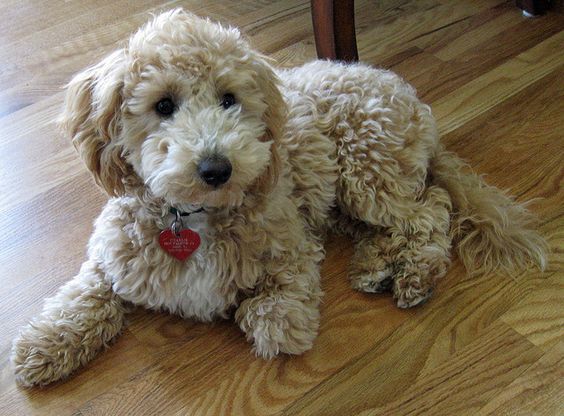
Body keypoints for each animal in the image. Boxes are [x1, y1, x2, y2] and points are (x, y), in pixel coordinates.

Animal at [12, 8, 548, 386]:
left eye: (229, 98)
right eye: (163, 105)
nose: (217, 167)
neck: (192, 217)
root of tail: (406, 93)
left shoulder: (293, 241)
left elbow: (274, 307)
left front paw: (279, 321)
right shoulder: (115, 257)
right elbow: (84, 295)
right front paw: (44, 345)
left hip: (367, 171)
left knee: (430, 210)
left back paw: (412, 274)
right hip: (348, 195)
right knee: (404, 219)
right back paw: (375, 265)